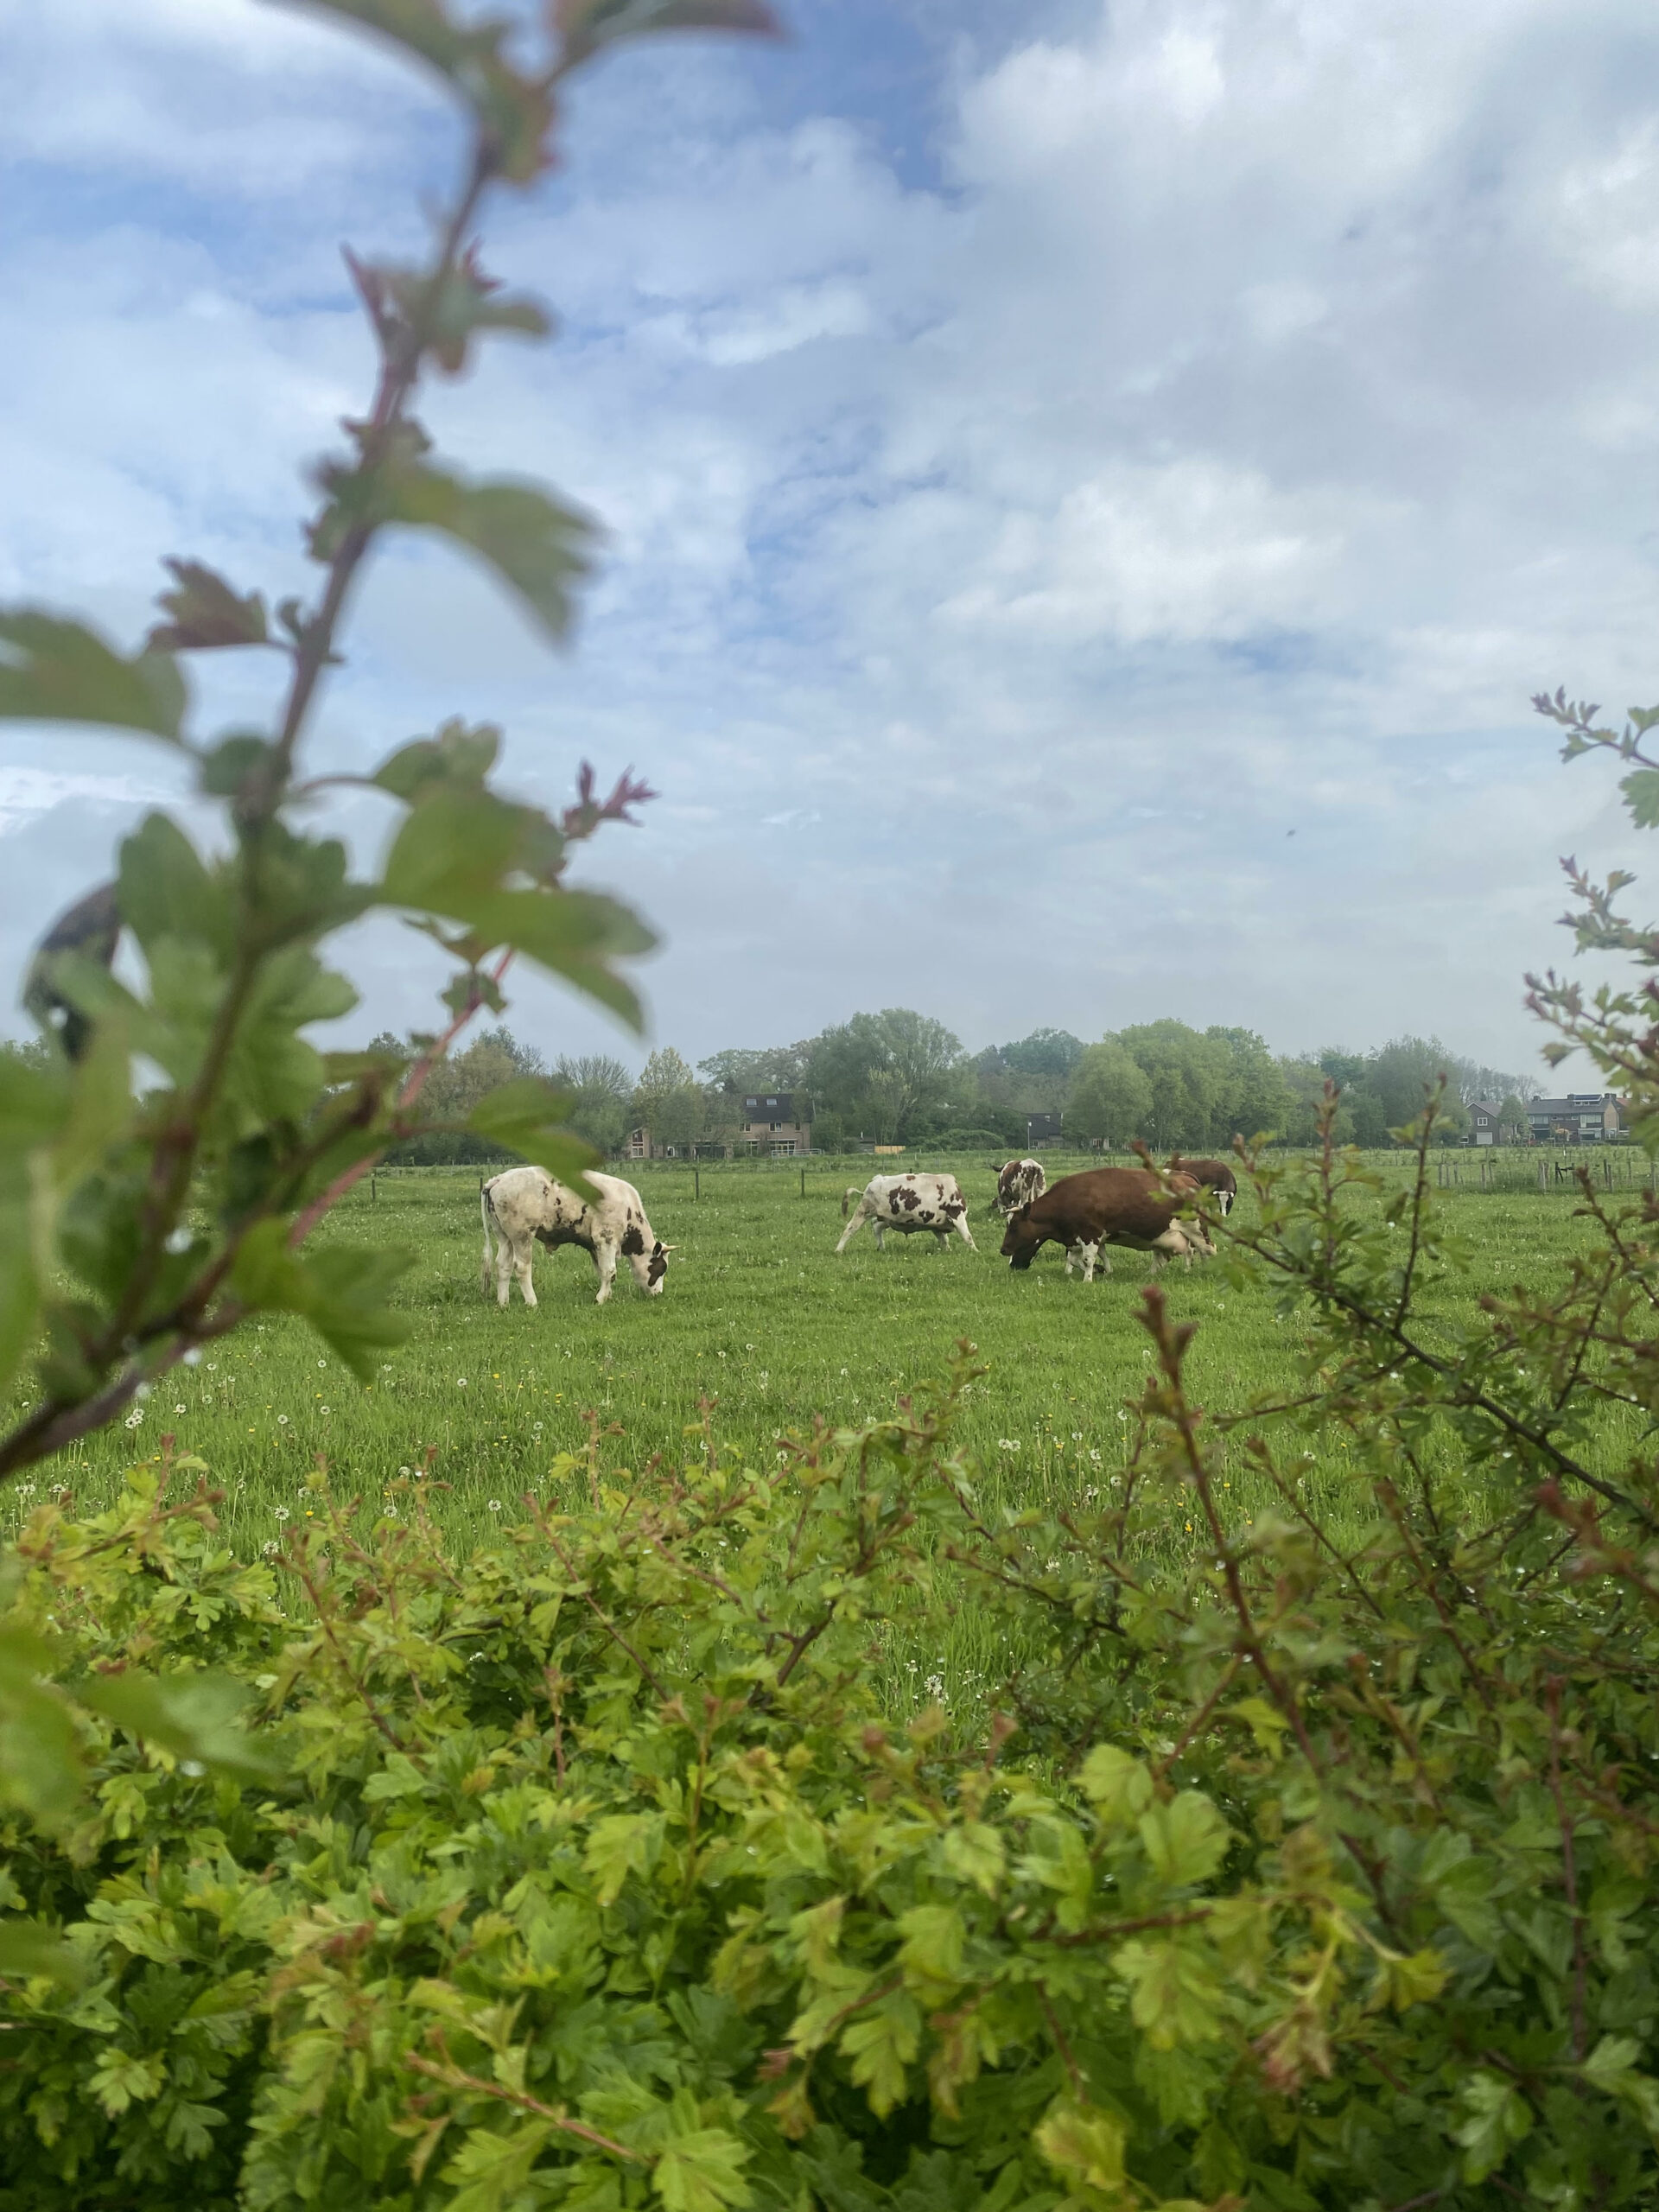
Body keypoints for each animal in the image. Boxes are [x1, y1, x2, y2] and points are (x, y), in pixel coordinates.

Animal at [477, 1167, 672, 1300]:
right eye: (661, 1268)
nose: (658, 1293)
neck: (627, 1208)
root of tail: (499, 1179)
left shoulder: (595, 1246)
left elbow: (602, 1271)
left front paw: (607, 1295)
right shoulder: (607, 1240)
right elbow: (610, 1271)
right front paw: (601, 1299)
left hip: (504, 1237)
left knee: (503, 1266)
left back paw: (503, 1303)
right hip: (522, 1236)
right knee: (522, 1267)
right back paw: (532, 1302)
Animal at [1000, 1167, 1221, 1292]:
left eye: (1014, 1226)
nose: (1003, 1250)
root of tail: (1188, 1178)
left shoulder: (1090, 1234)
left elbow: (1088, 1259)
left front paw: (1088, 1279)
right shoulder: (1080, 1238)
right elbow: (1081, 1259)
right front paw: (1104, 1271)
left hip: (1197, 1228)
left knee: (1207, 1249)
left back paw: (1207, 1271)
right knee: (1171, 1254)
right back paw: (1153, 1274)